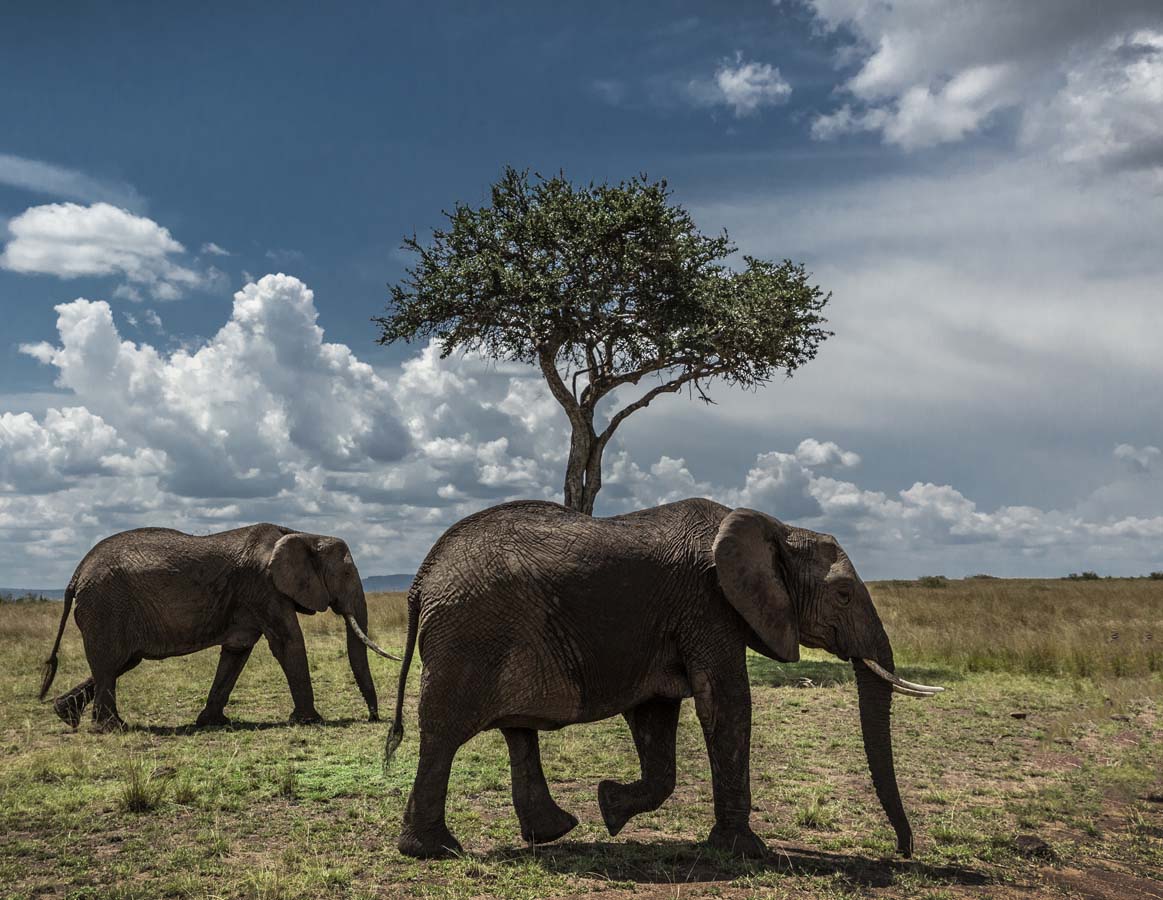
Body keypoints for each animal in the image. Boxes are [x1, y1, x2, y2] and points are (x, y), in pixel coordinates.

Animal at [38, 524, 399, 731]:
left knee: (119, 663)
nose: (373, 717)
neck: (302, 532)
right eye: (348, 574)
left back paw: (66, 715)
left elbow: (237, 650)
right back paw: (113, 728)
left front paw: (214, 722)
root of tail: (77, 573)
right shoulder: (264, 586)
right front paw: (310, 721)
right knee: (110, 662)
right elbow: (287, 642)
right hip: (106, 606)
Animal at [386, 498, 943, 859]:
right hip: (471, 635)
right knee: (444, 735)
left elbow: (656, 718)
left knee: (516, 731)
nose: (902, 852)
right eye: (844, 594)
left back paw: (552, 833)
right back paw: (435, 851)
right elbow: (726, 705)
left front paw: (610, 808)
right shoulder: (709, 605)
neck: (777, 529)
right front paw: (746, 852)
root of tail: (420, 580)